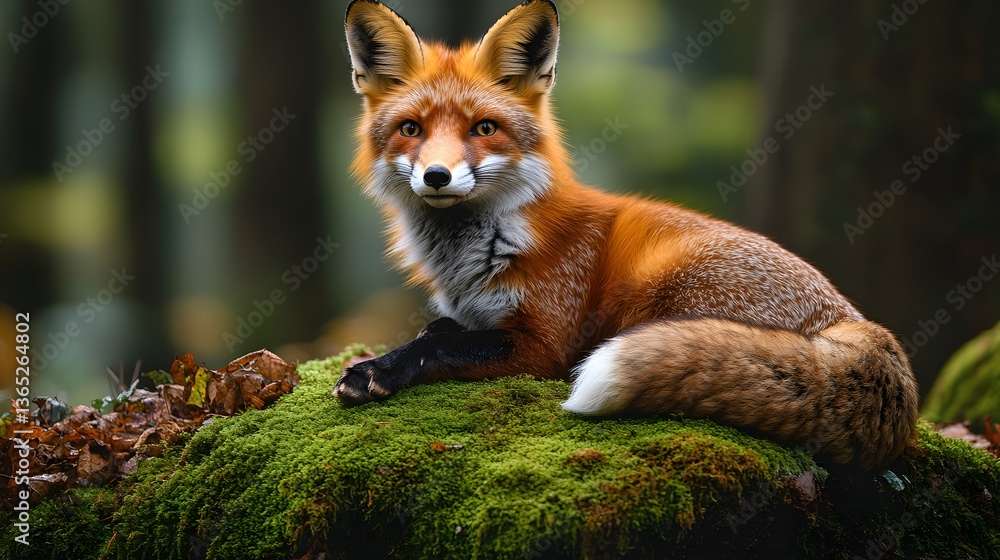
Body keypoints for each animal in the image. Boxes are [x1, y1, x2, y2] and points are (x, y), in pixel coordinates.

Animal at [333, 0, 920, 469]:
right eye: (411, 129)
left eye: (484, 128)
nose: (437, 176)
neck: (481, 251)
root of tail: (858, 323)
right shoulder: (477, 315)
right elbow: (438, 330)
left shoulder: (544, 344)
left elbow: (441, 346)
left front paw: (378, 370)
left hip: (662, 290)